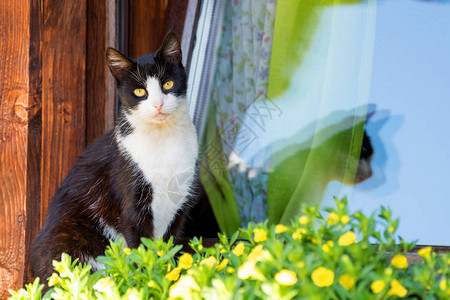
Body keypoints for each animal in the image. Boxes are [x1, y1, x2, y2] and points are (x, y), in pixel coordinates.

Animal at [31, 32, 199, 282]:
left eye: (168, 84)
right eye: (140, 92)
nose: (158, 104)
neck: (163, 140)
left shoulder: (180, 202)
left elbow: (169, 246)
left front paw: (168, 276)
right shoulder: (131, 201)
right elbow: (142, 249)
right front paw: (147, 279)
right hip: (68, 236)